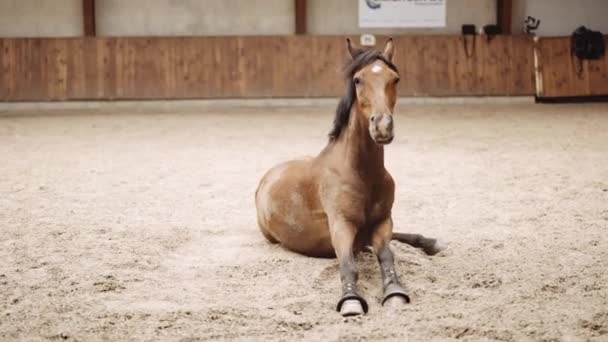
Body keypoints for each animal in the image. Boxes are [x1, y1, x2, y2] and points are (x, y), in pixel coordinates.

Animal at [255, 38, 442, 316]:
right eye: (357, 79)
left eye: (395, 79)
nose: (382, 126)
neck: (362, 173)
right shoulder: (341, 226)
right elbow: (348, 264)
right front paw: (351, 300)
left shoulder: (383, 221)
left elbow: (387, 255)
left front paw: (395, 291)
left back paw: (430, 242)